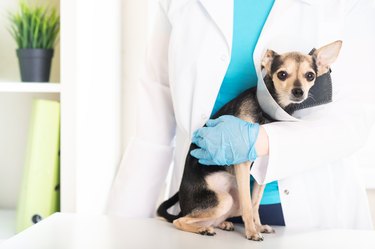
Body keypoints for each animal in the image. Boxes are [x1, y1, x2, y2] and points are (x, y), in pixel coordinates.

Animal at [157, 40, 342, 241]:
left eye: (310, 75)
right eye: (282, 74)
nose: (298, 91)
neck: (266, 110)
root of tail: (183, 206)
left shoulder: (263, 171)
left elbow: (254, 204)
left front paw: (258, 226)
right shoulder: (243, 164)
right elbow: (248, 205)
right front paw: (252, 232)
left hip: (232, 199)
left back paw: (222, 224)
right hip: (223, 200)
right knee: (180, 221)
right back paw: (202, 229)